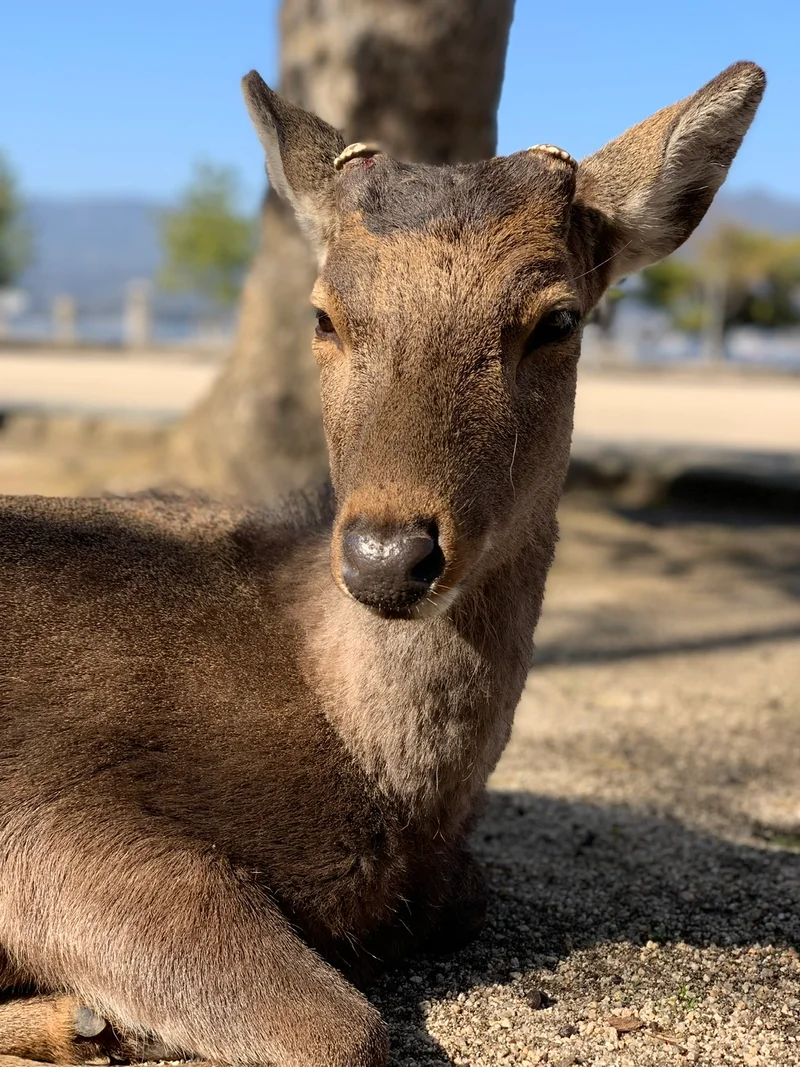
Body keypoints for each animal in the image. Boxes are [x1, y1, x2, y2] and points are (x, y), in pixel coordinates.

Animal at [0, 60, 763, 1067]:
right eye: (323, 313)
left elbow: (461, 904)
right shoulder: (44, 818)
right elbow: (346, 1030)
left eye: (558, 318)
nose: (389, 556)